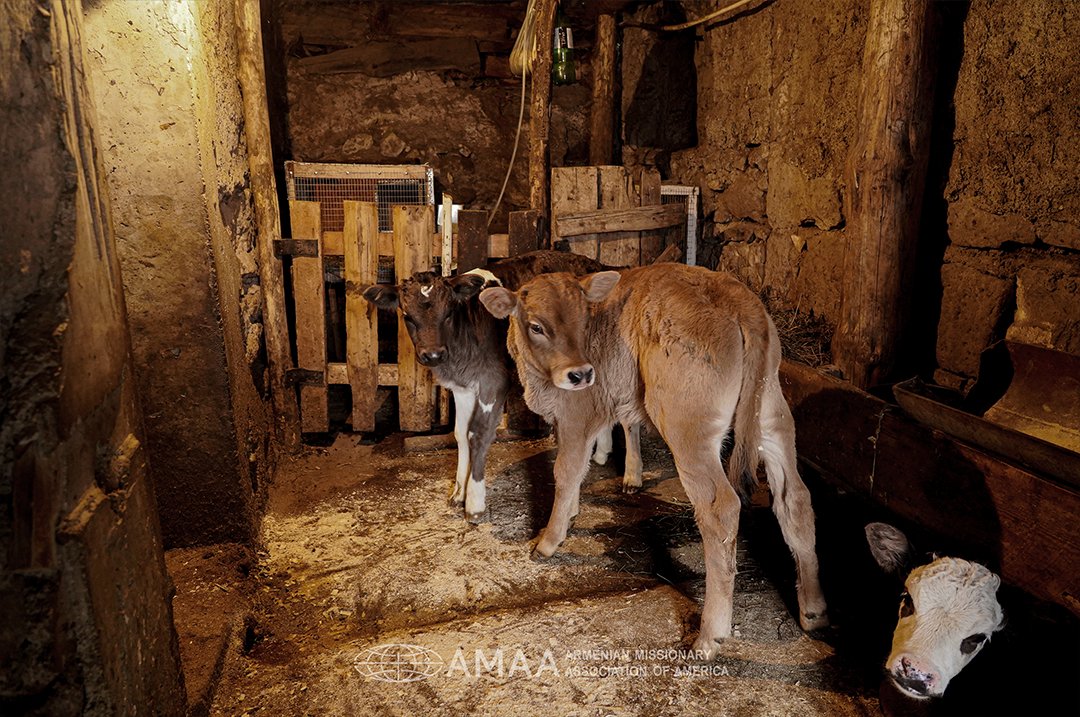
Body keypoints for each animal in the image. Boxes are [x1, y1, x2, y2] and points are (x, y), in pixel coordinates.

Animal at [362, 250, 641, 523]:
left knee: (628, 415)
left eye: (448, 313)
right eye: (407, 316)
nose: (432, 355)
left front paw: (474, 502)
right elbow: (460, 434)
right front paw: (458, 492)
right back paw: (602, 452)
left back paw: (631, 477)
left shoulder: (493, 381)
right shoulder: (462, 388)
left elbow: (478, 434)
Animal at [478, 263, 828, 657]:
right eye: (536, 326)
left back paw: (710, 636)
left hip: (687, 428)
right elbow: (579, 471)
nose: (582, 373)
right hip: (773, 417)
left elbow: (566, 471)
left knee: (722, 510)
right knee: (795, 499)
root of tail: (739, 300)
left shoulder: (578, 414)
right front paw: (570, 515)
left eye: (584, 321)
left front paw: (548, 541)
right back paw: (814, 610)